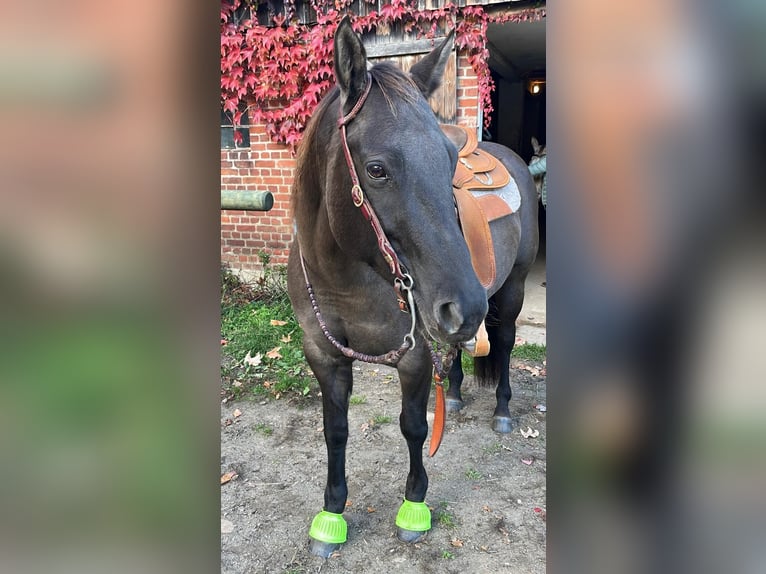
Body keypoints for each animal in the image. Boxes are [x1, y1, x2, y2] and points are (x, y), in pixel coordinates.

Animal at [286, 18, 540, 560]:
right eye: (376, 169)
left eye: (447, 161)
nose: (466, 303)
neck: (350, 279)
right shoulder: (323, 354)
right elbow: (334, 430)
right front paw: (332, 513)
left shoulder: (414, 355)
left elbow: (415, 426)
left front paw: (414, 506)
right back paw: (458, 395)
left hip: (509, 293)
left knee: (505, 344)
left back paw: (502, 411)